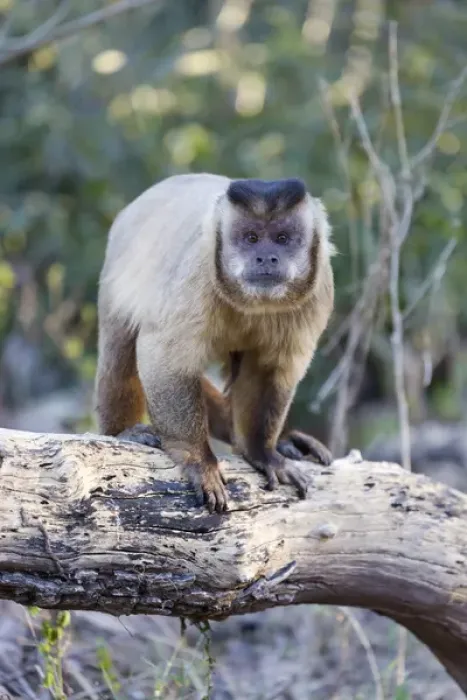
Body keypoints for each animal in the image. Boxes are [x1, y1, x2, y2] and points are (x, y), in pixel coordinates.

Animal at [94, 173, 336, 514]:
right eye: (251, 238)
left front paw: (262, 452)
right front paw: (199, 460)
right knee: (121, 350)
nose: (266, 257)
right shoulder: (197, 273)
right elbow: (164, 360)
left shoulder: (319, 289)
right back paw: (122, 432)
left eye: (282, 238)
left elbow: (272, 370)